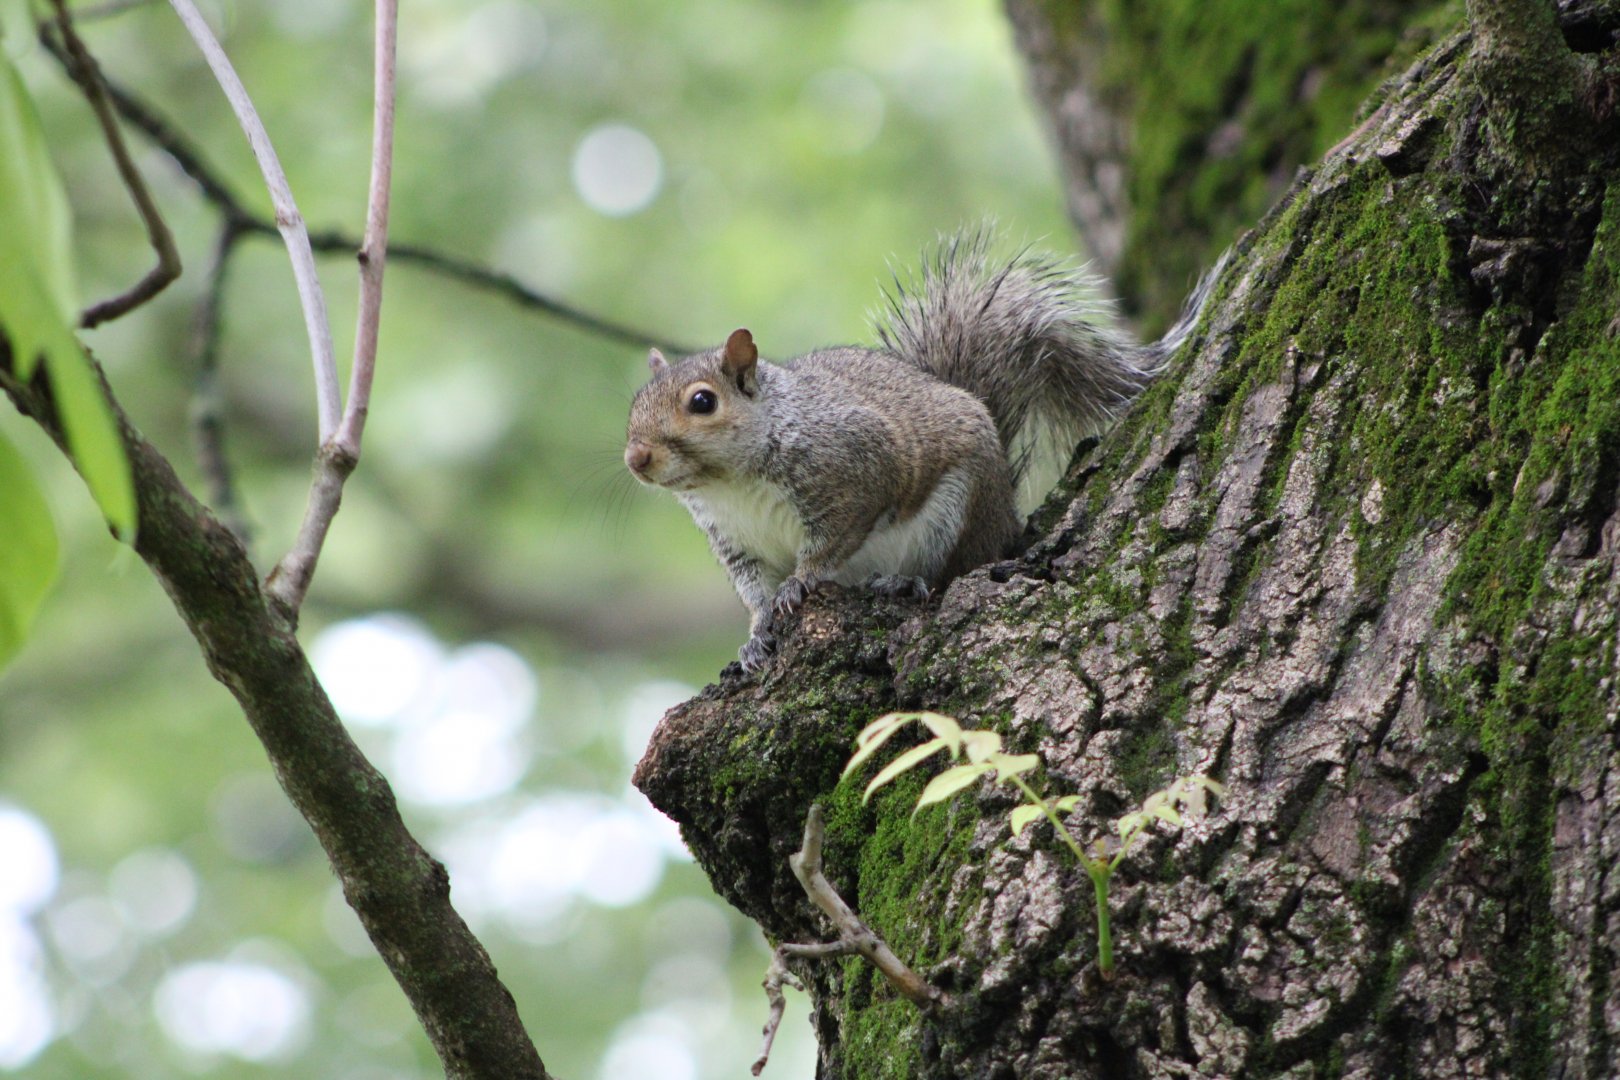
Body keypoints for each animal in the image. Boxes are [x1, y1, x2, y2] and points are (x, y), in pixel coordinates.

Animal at [625, 231, 1223, 672]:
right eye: (634, 404)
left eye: (703, 402)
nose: (636, 459)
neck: (731, 483)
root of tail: (1004, 510)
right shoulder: (737, 542)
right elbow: (754, 593)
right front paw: (754, 635)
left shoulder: (854, 470)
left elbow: (833, 541)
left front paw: (800, 582)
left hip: (954, 513)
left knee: (947, 571)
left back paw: (905, 581)